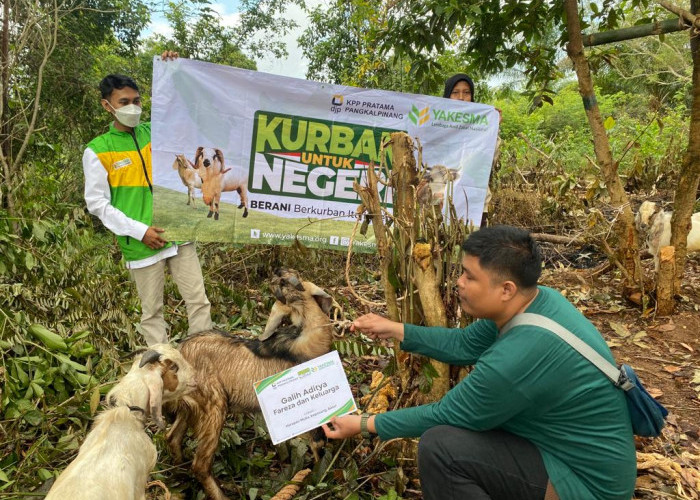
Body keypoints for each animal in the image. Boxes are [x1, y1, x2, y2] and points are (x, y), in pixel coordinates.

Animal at [168, 270, 334, 500]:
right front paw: (319, 479)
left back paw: (179, 476)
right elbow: (318, 441)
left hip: (190, 407)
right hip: (214, 404)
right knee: (200, 464)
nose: (280, 275)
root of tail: (178, 354)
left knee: (172, 438)